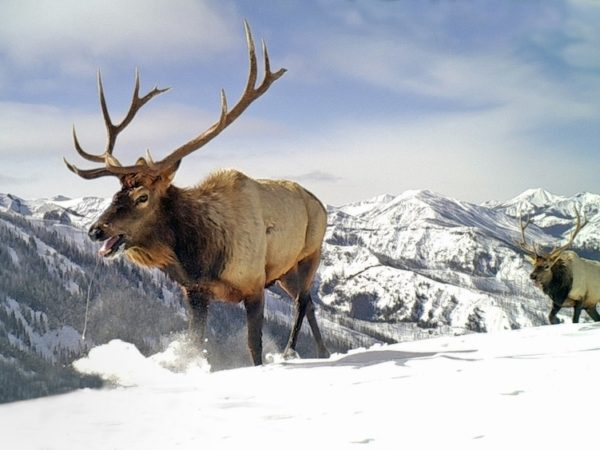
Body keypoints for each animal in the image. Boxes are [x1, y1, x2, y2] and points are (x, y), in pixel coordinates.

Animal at [63, 22, 330, 364]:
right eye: (114, 195)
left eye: (142, 197)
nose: (95, 230)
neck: (200, 254)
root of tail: (320, 203)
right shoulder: (195, 291)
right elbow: (195, 344)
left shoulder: (254, 284)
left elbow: (253, 346)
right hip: (284, 272)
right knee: (308, 301)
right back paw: (321, 351)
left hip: (310, 253)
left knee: (302, 301)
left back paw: (291, 350)